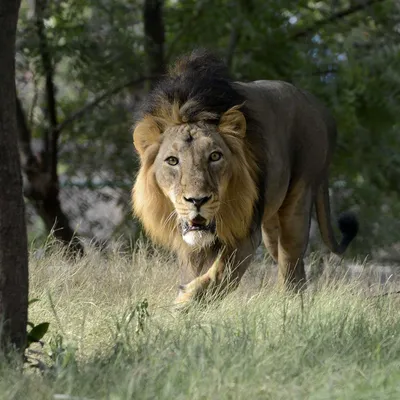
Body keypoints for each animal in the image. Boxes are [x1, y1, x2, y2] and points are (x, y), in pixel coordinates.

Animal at [132, 48, 360, 308]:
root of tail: (321, 110)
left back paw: (288, 304)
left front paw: (185, 301)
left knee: (290, 260)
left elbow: (221, 273)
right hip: (271, 225)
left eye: (215, 156)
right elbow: (195, 271)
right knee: (290, 263)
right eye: (172, 161)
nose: (197, 201)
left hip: (299, 198)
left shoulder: (245, 230)